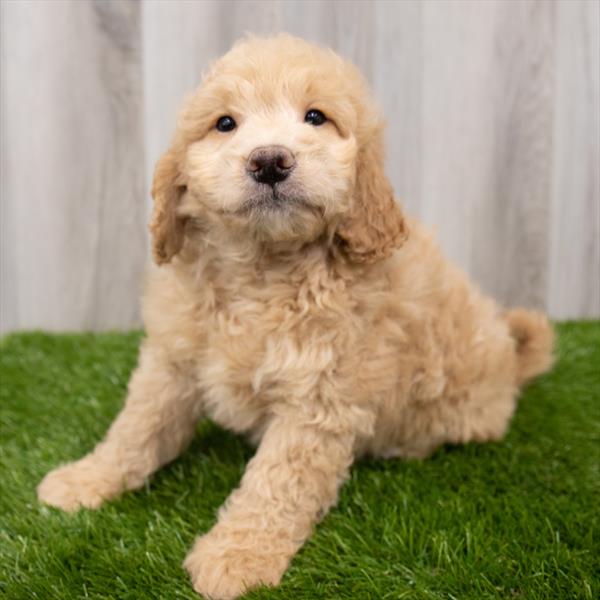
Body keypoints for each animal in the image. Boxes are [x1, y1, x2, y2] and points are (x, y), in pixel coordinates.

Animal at [37, 35, 552, 596]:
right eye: (224, 123)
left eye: (316, 117)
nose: (269, 160)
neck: (262, 267)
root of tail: (511, 358)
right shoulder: (173, 361)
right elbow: (136, 427)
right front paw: (86, 479)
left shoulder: (318, 397)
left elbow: (276, 482)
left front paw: (237, 557)